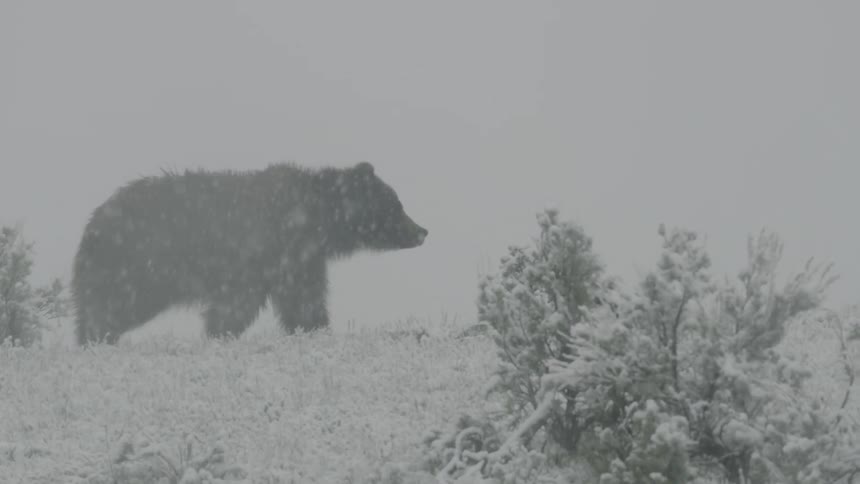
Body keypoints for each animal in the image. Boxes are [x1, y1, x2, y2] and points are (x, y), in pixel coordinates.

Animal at [72, 161, 428, 345]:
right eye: (397, 205)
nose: (422, 231)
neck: (319, 217)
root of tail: (92, 222)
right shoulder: (265, 253)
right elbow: (242, 303)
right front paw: (219, 332)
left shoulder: (300, 258)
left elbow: (302, 300)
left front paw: (313, 329)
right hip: (138, 265)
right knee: (114, 304)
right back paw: (96, 337)